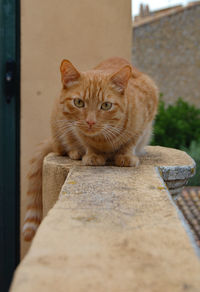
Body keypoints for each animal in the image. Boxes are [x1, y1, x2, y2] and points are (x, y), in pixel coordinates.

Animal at [23, 56, 158, 241]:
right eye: (79, 103)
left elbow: (131, 141)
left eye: (106, 105)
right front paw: (92, 155)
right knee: (62, 149)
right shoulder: (76, 129)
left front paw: (126, 156)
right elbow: (86, 142)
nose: (90, 121)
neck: (105, 140)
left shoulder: (145, 119)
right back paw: (75, 152)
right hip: (58, 128)